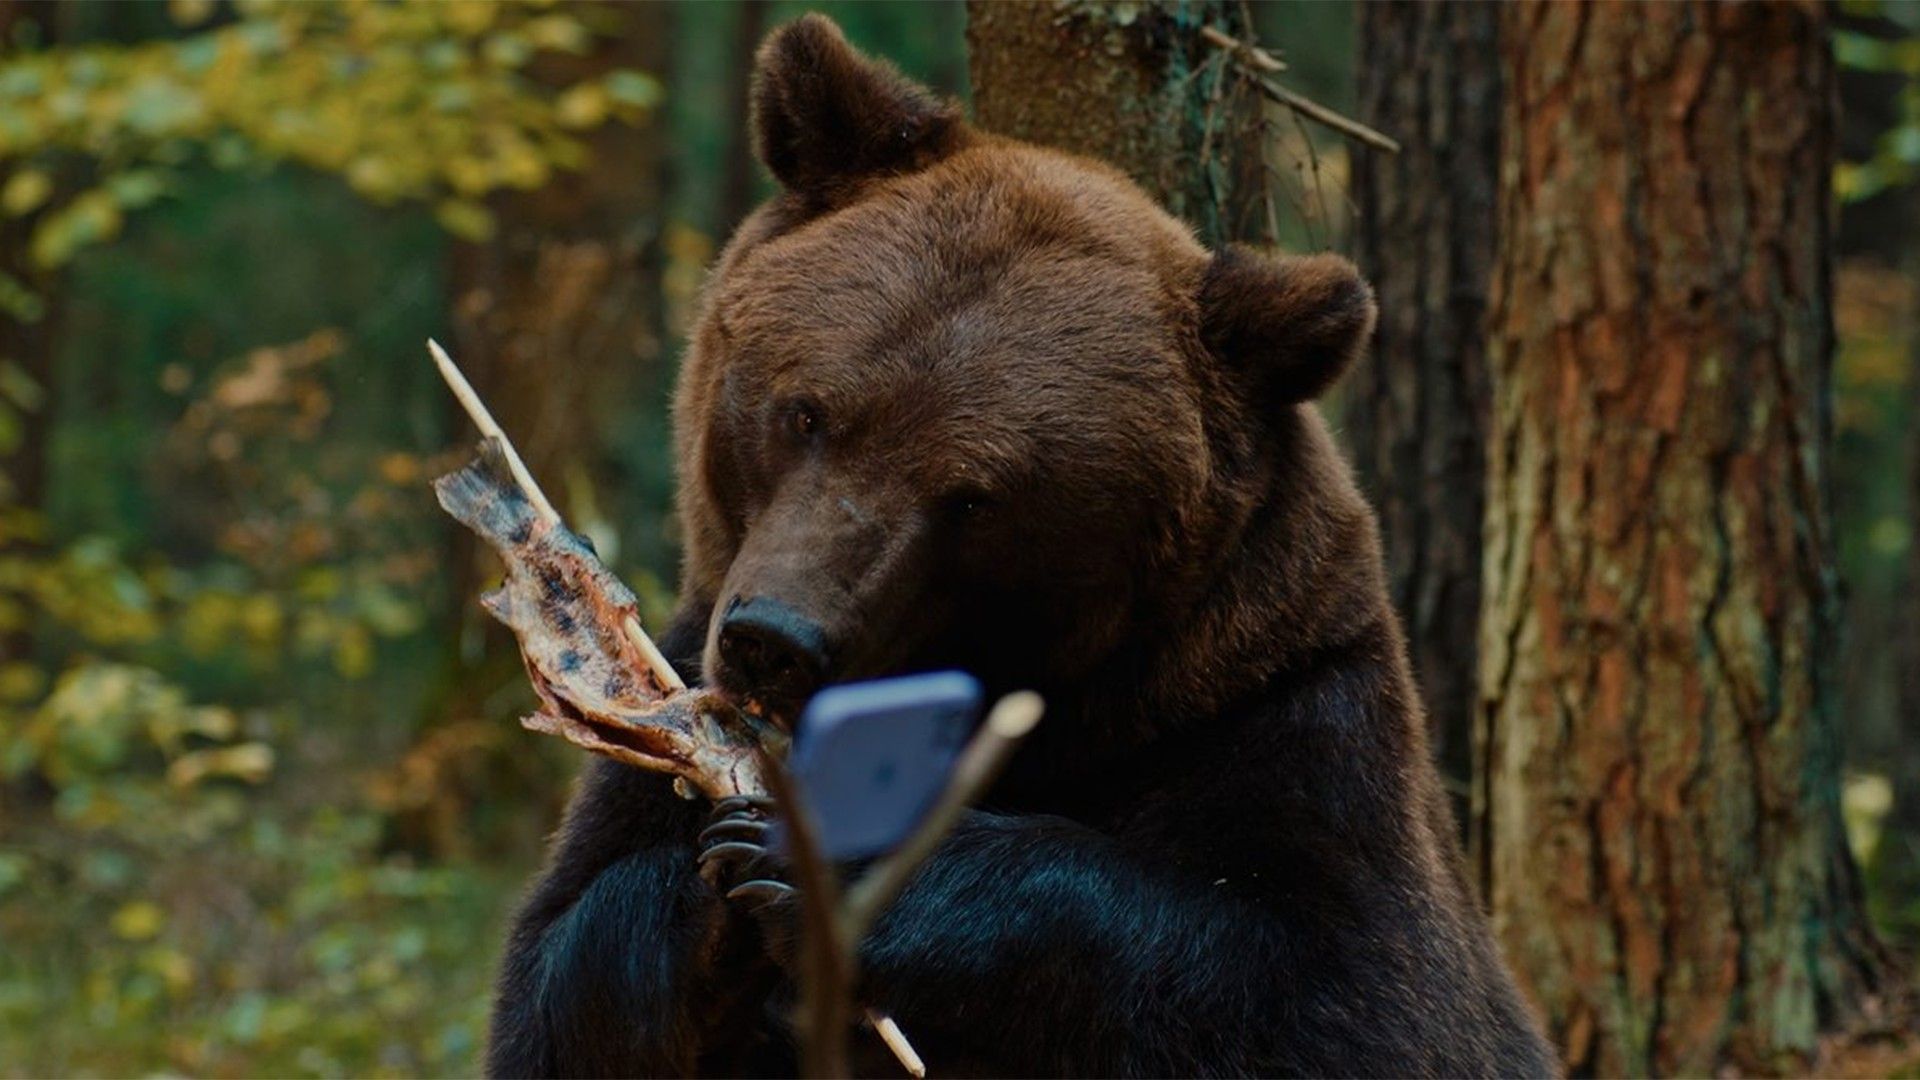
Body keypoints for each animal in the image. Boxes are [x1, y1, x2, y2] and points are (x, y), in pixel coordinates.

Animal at [486, 14, 1556, 1079]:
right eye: (807, 411)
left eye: (973, 497)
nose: (774, 642)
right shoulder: (665, 688)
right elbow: (558, 981)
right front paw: (732, 869)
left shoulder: (1282, 717)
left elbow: (1342, 993)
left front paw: (835, 857)